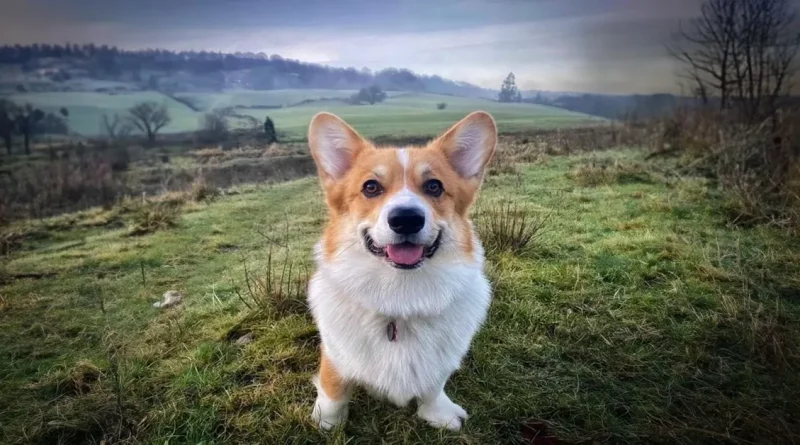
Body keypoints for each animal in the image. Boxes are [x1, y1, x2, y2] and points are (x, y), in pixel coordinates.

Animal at [304, 110, 494, 430]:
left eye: (434, 186)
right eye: (371, 187)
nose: (406, 219)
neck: (400, 296)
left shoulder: (438, 364)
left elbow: (433, 386)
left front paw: (438, 413)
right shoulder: (336, 355)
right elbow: (334, 392)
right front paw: (327, 424)